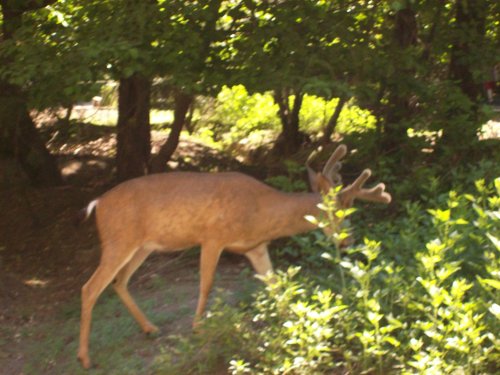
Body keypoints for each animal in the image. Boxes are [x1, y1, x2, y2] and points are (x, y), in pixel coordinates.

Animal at [77, 145, 390, 370]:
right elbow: (206, 283)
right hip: (119, 240)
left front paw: (295, 324)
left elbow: (276, 287)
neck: (261, 212)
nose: (348, 241)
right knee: (90, 288)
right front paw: (198, 328)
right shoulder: (212, 237)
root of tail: (97, 204)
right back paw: (85, 358)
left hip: (142, 246)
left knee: (118, 282)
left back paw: (150, 328)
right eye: (337, 209)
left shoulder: (255, 247)